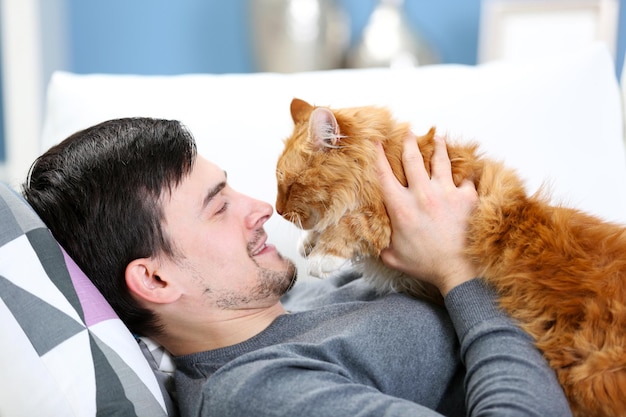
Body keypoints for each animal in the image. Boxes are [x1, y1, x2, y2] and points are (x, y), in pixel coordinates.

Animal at [276, 96, 624, 416]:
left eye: (291, 186)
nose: (278, 212)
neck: (388, 158)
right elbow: (330, 221)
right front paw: (308, 242)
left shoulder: (385, 219)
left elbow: (351, 222)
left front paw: (322, 255)